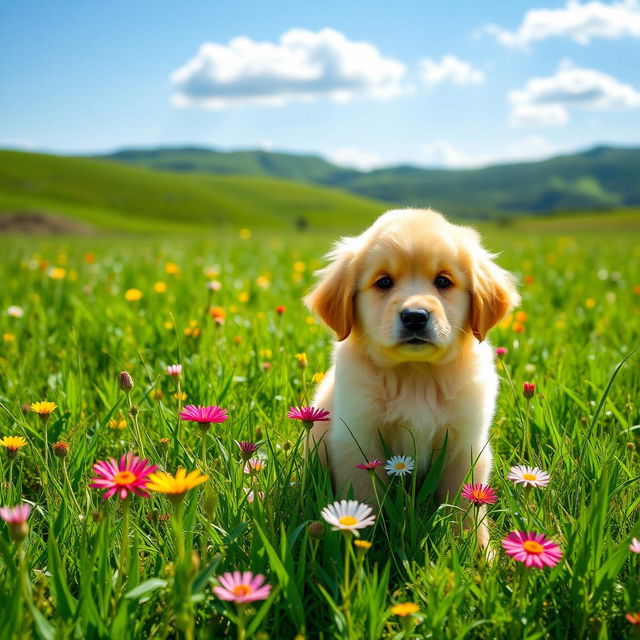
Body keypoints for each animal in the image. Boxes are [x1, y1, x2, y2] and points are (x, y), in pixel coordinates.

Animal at [304, 209, 520, 544]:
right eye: (384, 282)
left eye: (443, 281)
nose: (415, 316)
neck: (417, 375)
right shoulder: (359, 440)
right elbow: (365, 499)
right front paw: (365, 543)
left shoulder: (465, 445)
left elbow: (466, 507)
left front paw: (477, 548)